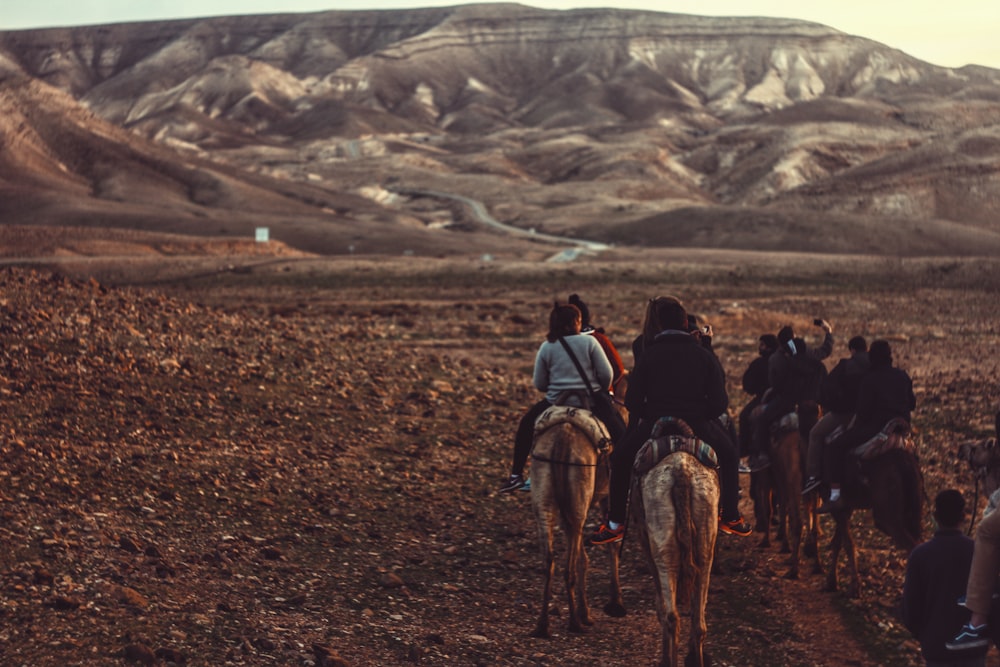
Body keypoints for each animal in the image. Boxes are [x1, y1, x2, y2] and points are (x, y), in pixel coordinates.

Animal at [528, 374, 628, 640]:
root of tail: (562, 440)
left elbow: (584, 555)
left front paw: (588, 612)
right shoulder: (607, 498)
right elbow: (611, 544)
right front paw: (615, 604)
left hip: (546, 497)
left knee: (549, 559)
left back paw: (543, 625)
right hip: (578, 500)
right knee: (568, 565)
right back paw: (574, 622)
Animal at [632, 418, 720, 667]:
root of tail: (682, 471)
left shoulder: (646, 542)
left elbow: (660, 606)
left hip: (662, 543)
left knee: (671, 615)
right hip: (706, 534)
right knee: (699, 623)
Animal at [820, 420, 920, 596]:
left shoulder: (836, 507)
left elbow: (847, 543)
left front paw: (854, 586)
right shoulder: (846, 507)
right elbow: (839, 541)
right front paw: (832, 582)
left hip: (888, 519)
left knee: (912, 546)